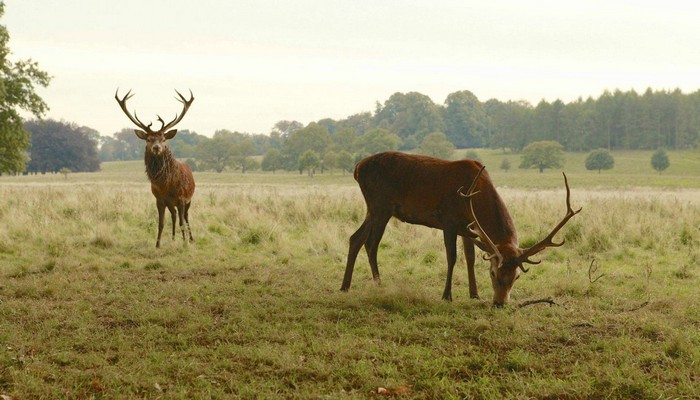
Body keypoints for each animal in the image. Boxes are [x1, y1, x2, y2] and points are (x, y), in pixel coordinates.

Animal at [115, 89, 197, 248]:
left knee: (185, 217)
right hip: (171, 204)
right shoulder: (159, 199)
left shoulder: (182, 198)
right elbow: (161, 223)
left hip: (188, 200)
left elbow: (182, 223)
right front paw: (157, 245)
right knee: (174, 215)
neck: (166, 186)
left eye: (163, 139)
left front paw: (184, 243)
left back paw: (190, 238)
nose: (157, 147)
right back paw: (173, 238)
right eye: (148, 139)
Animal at [340, 152, 580, 306]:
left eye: (516, 277)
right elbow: (452, 257)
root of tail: (357, 168)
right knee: (370, 243)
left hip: (375, 208)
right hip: (380, 205)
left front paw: (474, 294)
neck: (476, 197)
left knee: (356, 238)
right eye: (493, 273)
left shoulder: (468, 227)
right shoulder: (448, 220)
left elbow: (470, 257)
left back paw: (350, 285)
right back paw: (369, 284)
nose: (500, 303)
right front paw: (447, 295)